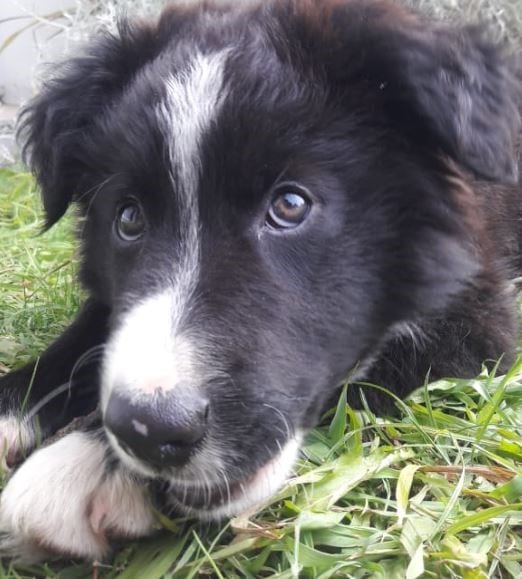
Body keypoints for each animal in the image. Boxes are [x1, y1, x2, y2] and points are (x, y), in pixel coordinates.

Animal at [1, 0, 520, 560]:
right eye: (129, 218)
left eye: (290, 205)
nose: (147, 431)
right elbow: (86, 334)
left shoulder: (475, 316)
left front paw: (84, 464)